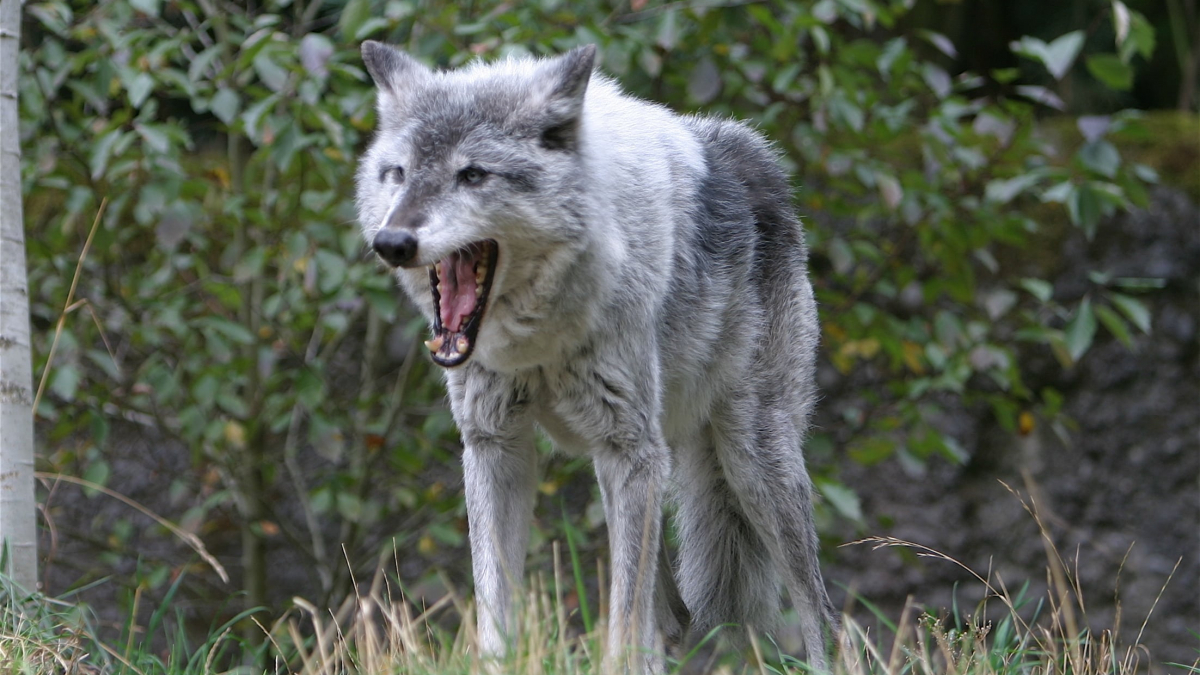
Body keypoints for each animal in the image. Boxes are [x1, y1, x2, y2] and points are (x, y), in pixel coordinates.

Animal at [355, 43, 840, 672]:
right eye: (398, 173)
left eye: (472, 174)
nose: (392, 242)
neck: (540, 339)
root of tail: (756, 156)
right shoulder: (494, 447)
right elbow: (495, 614)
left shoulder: (629, 451)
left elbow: (623, 625)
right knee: (675, 618)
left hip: (748, 462)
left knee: (821, 614)